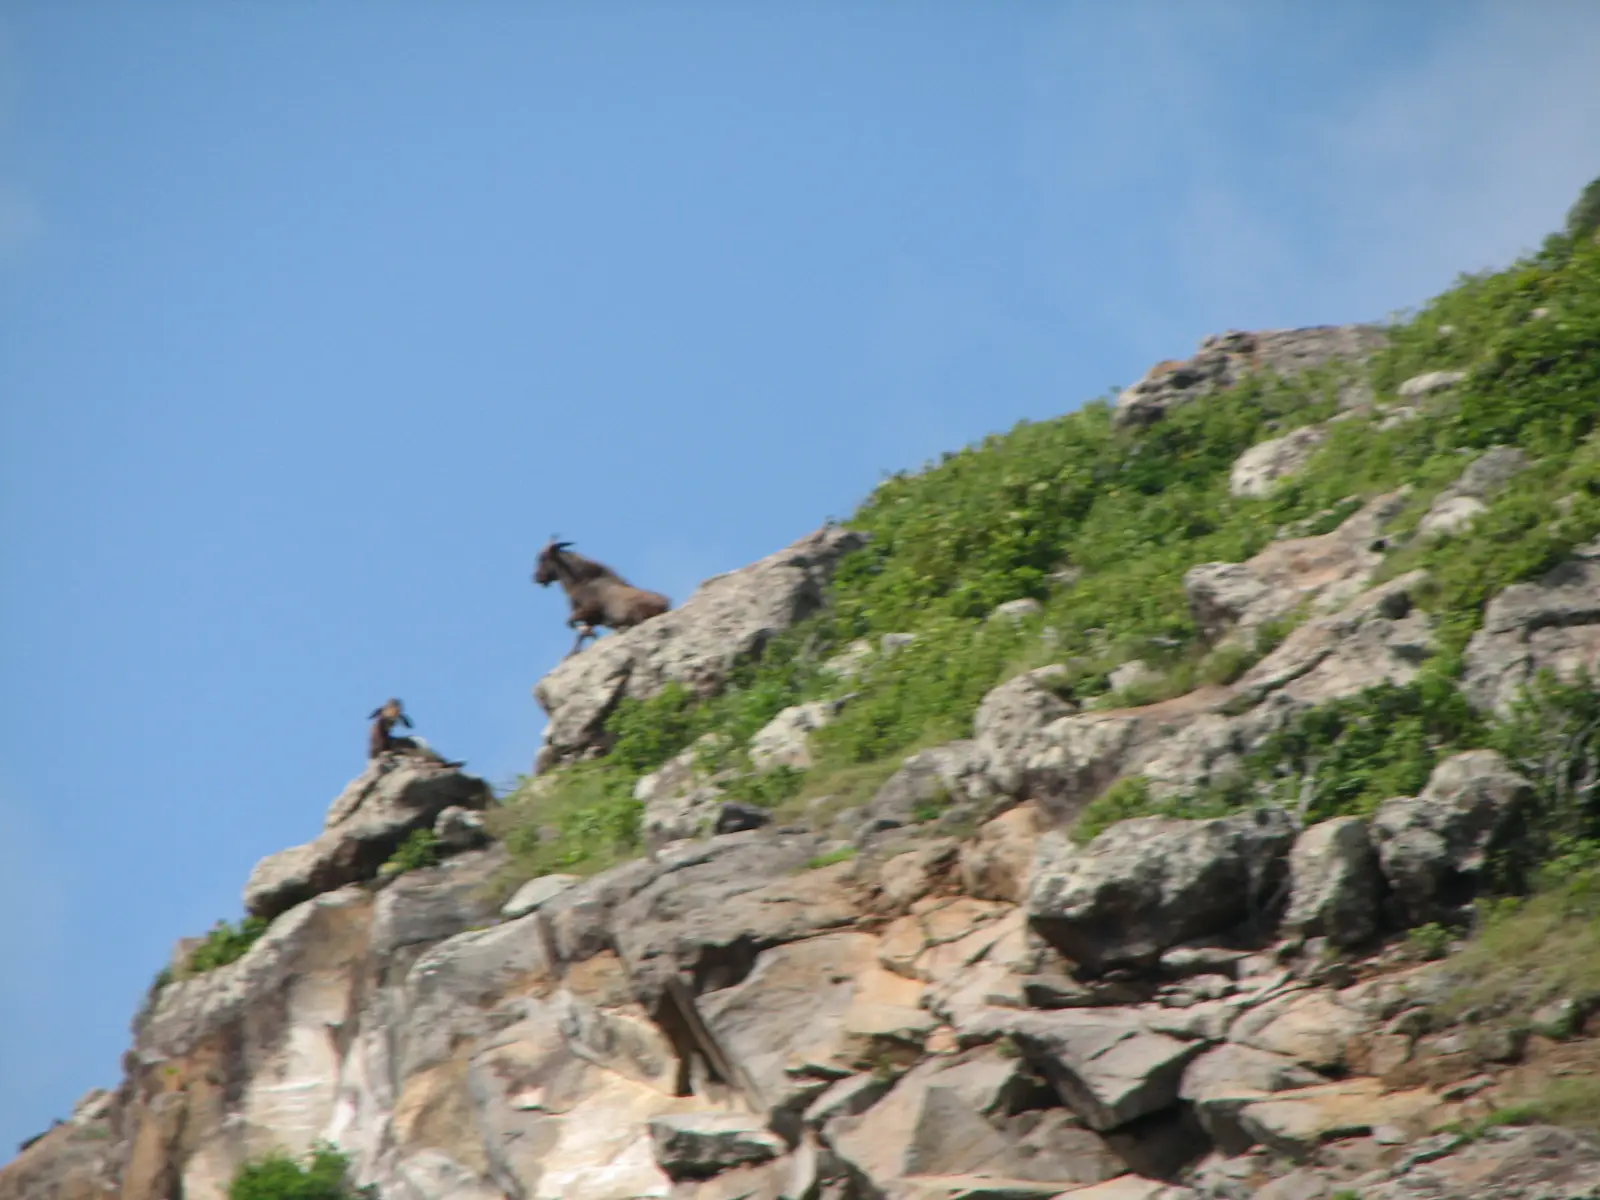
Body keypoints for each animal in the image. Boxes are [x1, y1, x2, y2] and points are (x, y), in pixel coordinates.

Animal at [533, 536, 671, 658]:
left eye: (543, 558)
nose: (536, 578)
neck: (584, 582)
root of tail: (666, 603)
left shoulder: (589, 610)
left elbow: (571, 623)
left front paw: (591, 634)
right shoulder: (590, 618)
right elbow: (579, 633)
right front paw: (571, 653)